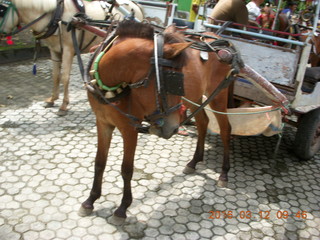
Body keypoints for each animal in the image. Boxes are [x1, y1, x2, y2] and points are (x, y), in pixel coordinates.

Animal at [0, 0, 144, 115]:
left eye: (2, 9)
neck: (56, 16)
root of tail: (136, 5)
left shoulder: (68, 50)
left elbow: (65, 77)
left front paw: (64, 106)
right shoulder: (54, 50)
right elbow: (55, 75)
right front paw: (52, 99)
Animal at [79, 20, 241, 223]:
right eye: (174, 81)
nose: (172, 128)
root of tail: (220, 38)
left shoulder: (129, 128)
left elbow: (127, 169)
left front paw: (122, 208)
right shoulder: (102, 122)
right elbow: (99, 162)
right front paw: (90, 200)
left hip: (218, 94)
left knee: (226, 128)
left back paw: (224, 172)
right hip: (194, 98)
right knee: (203, 122)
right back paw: (194, 162)